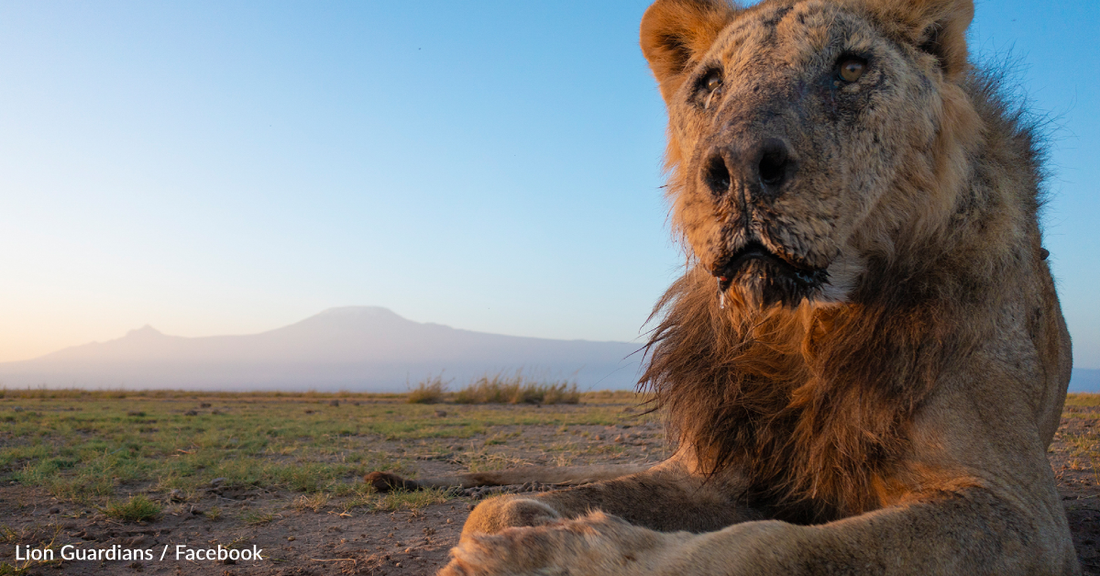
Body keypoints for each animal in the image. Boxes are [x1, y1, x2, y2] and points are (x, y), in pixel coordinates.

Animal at [371, 0, 1080, 573]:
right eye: (710, 84)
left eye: (851, 69)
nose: (738, 166)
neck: (801, 326)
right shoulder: (715, 468)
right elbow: (498, 507)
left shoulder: (1018, 509)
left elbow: (771, 547)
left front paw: (553, 558)